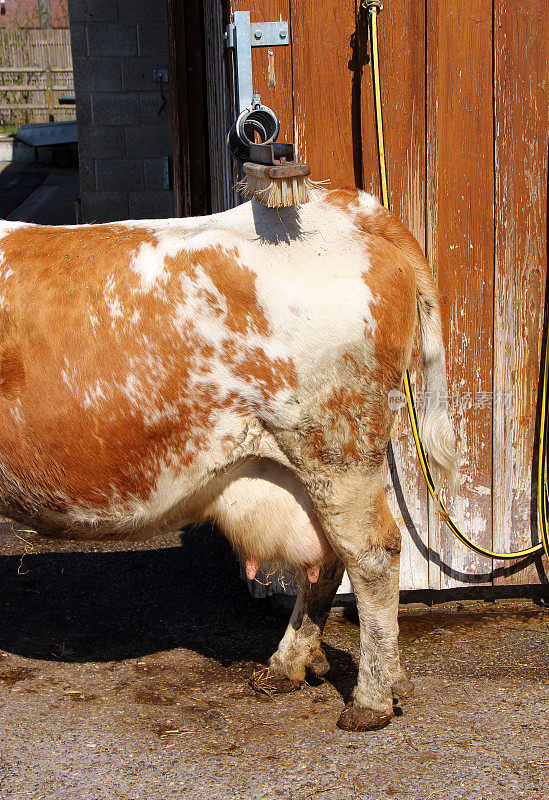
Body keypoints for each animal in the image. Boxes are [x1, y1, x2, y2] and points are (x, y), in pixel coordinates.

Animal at [0, 188, 456, 732]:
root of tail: (353, 206)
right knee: (329, 558)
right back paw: (292, 667)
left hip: (337, 448)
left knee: (371, 555)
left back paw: (371, 699)